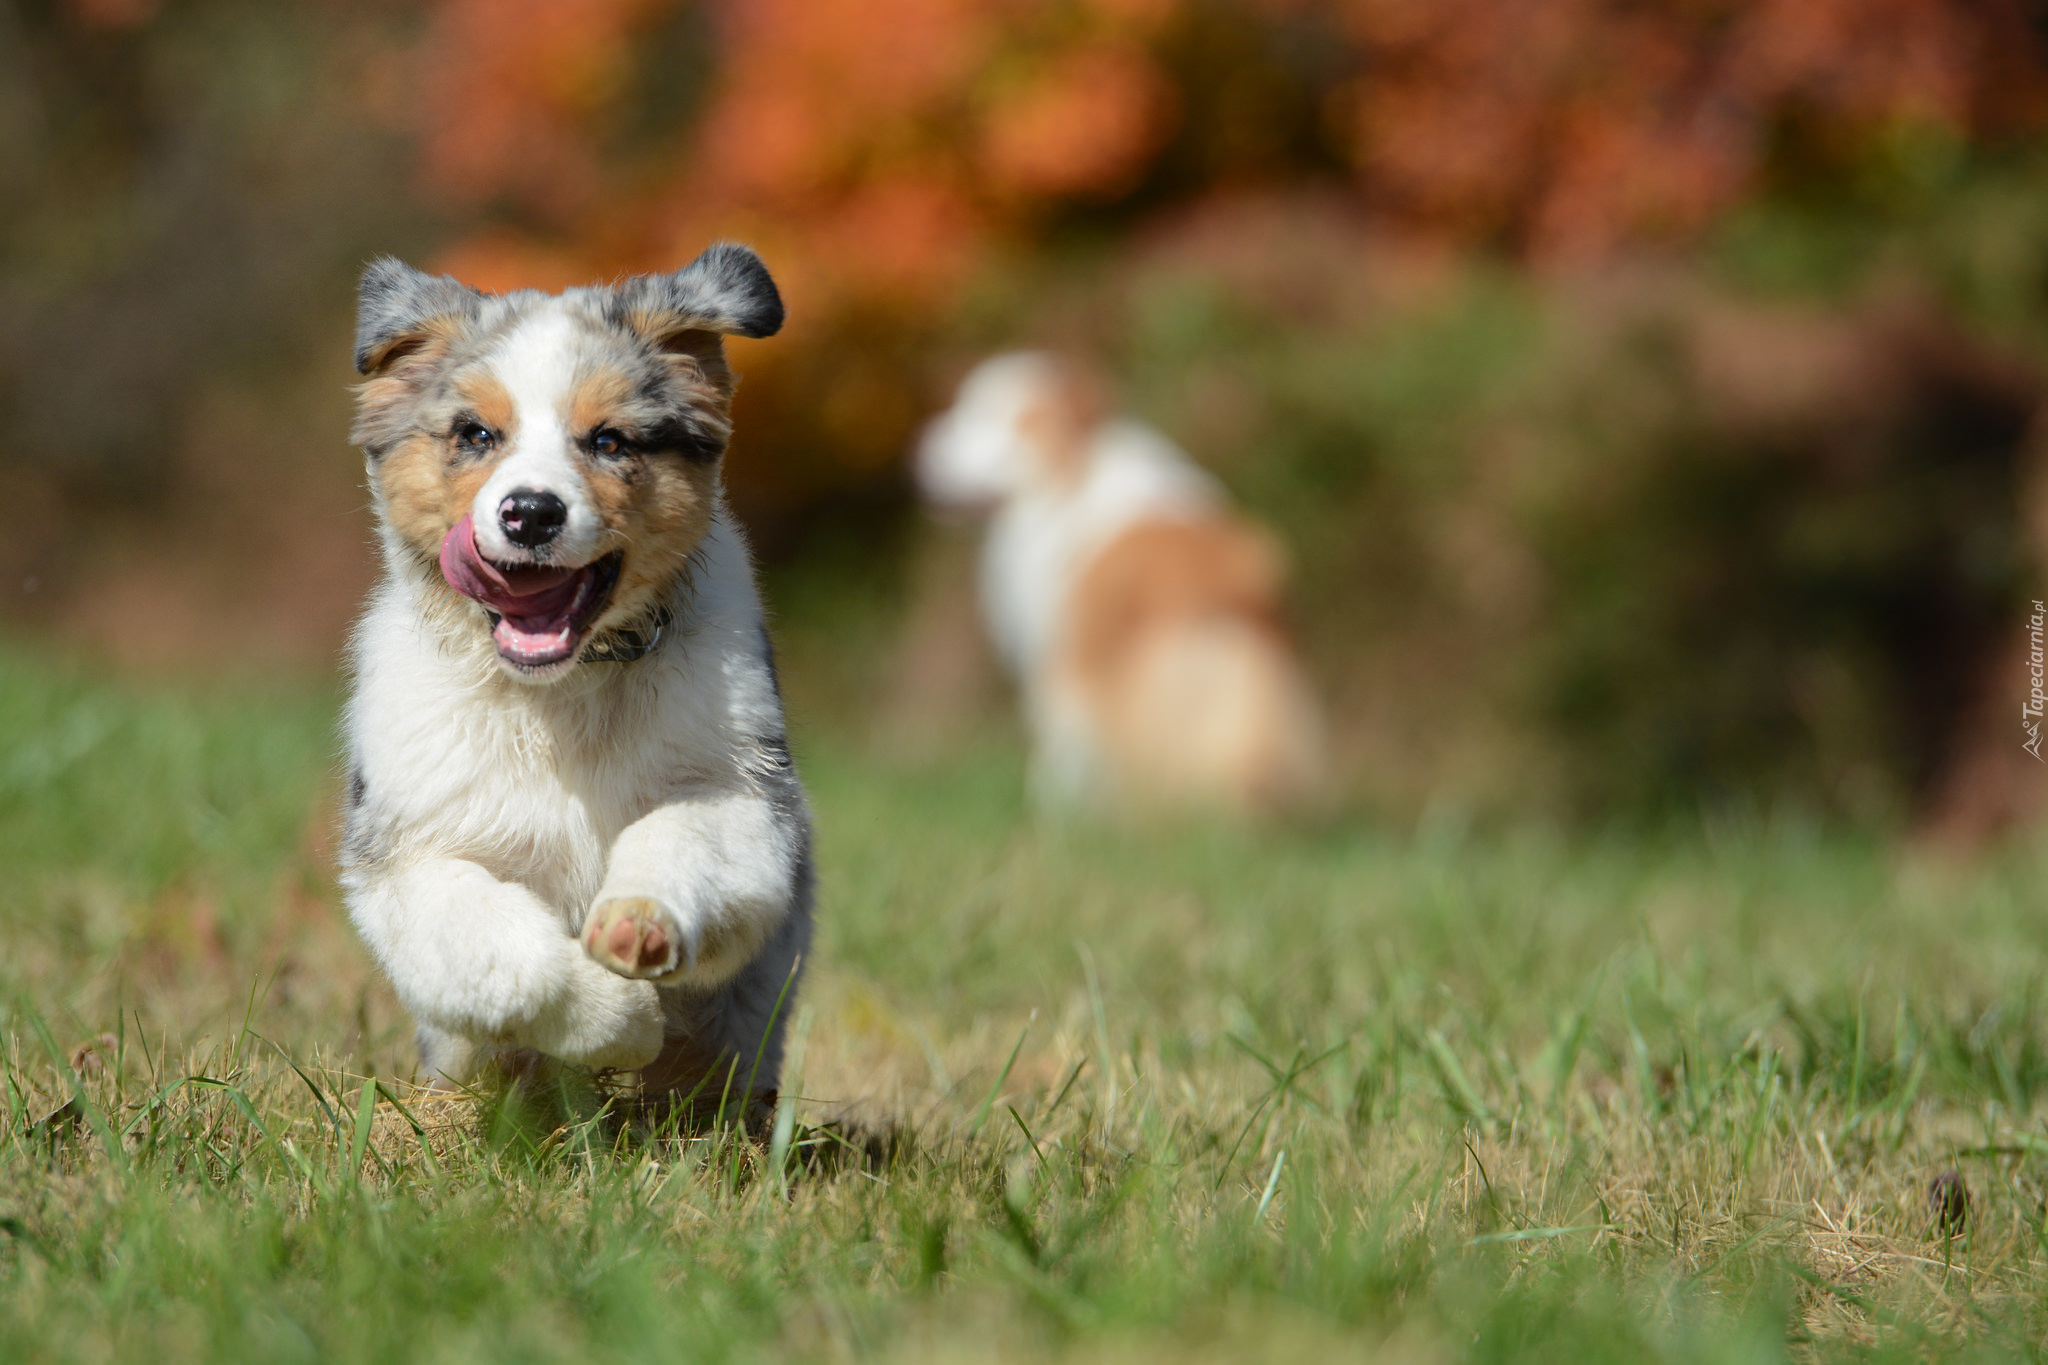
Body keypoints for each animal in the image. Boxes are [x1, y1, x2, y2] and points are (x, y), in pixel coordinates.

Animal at [342, 240, 806, 1105]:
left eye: (611, 441)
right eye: (475, 433)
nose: (530, 512)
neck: (561, 692)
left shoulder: (746, 799)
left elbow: (678, 836)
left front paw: (638, 924)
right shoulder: (407, 861)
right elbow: (506, 953)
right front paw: (620, 1018)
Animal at [917, 356, 1327, 822]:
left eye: (988, 418)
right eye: (965, 408)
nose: (919, 451)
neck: (1074, 478)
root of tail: (1214, 589)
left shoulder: (1060, 662)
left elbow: (1057, 763)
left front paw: (1057, 817)